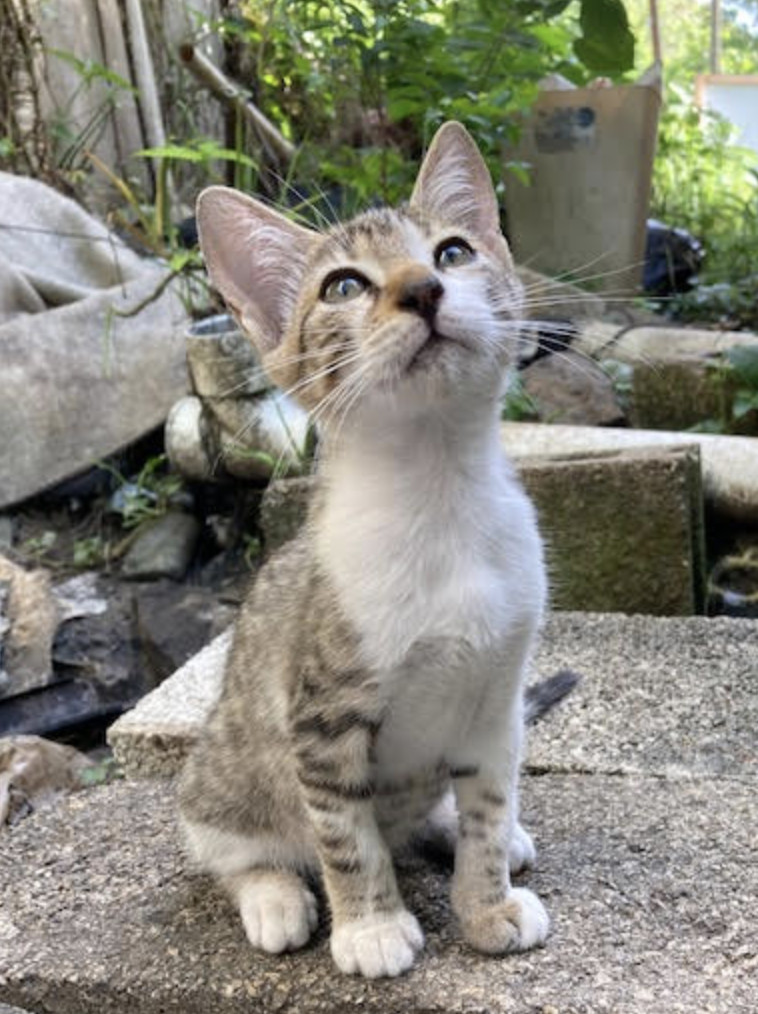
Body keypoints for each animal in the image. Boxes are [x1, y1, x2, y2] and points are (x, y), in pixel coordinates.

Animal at [180, 122, 555, 977]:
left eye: (453, 252)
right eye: (343, 287)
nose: (422, 289)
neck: (439, 499)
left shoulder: (496, 699)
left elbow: (489, 803)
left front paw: (485, 902)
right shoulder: (319, 717)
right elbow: (344, 833)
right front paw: (371, 927)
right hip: (218, 774)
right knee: (229, 844)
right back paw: (274, 895)